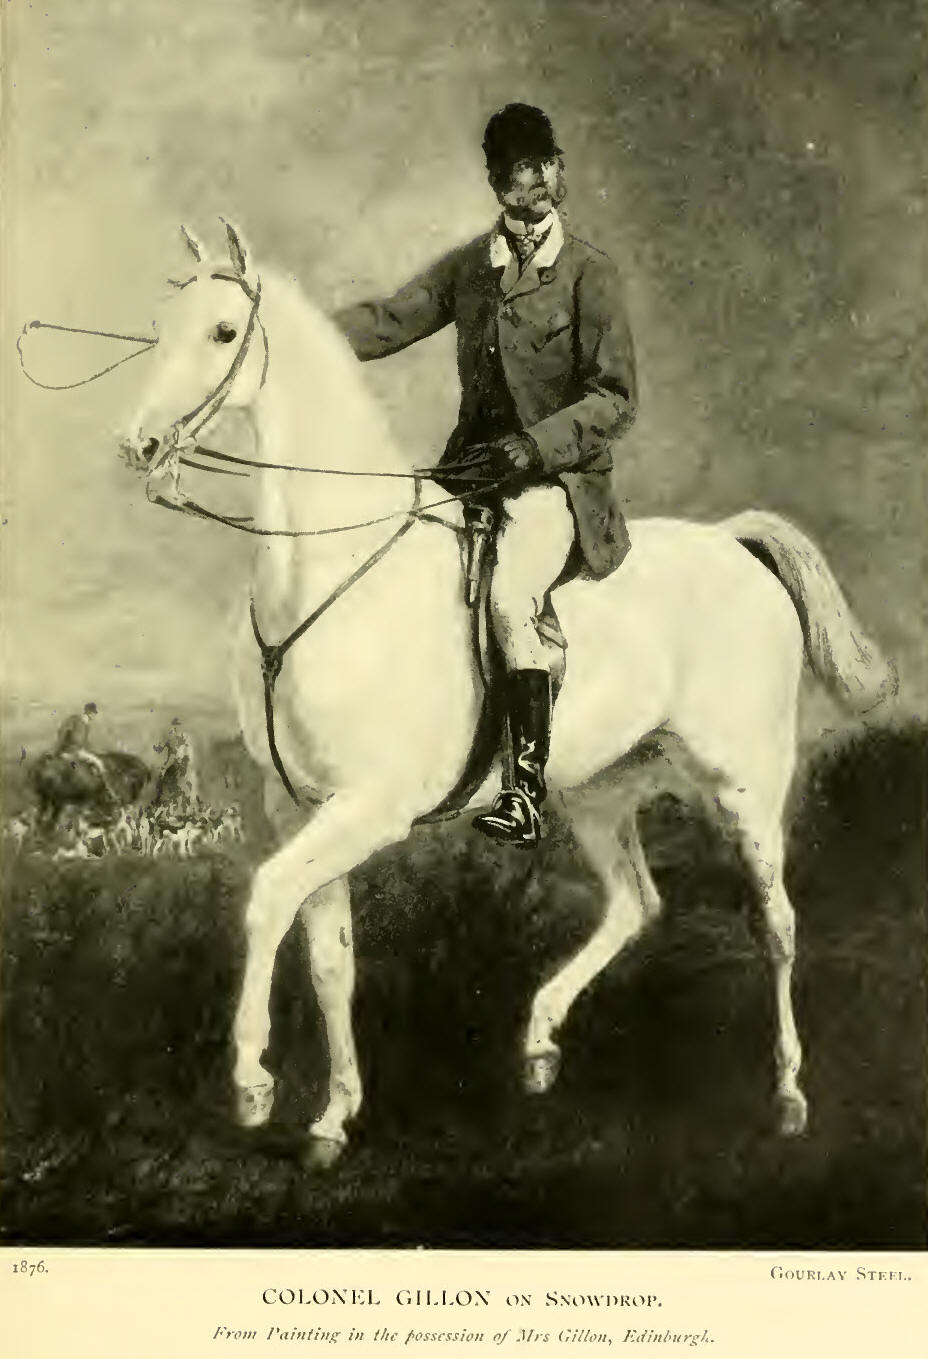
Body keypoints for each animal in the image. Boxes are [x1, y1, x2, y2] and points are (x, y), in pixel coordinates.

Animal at [122, 221, 894, 1167]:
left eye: (224, 332)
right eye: (158, 326)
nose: (141, 446)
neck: (329, 568)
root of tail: (729, 542)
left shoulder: (367, 807)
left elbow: (267, 898)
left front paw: (251, 1080)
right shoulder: (299, 804)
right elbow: (331, 957)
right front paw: (335, 1116)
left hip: (745, 783)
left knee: (777, 923)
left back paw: (787, 1094)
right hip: (596, 792)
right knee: (636, 902)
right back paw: (537, 1043)